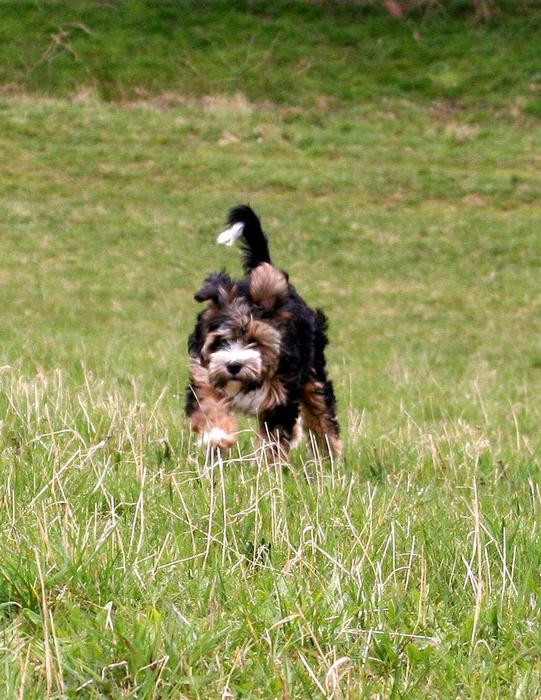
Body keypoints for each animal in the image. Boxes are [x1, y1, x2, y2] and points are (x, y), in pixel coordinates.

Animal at [185, 205, 341, 459]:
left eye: (255, 342)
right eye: (223, 340)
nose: (233, 365)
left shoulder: (281, 396)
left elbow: (274, 437)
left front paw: (267, 465)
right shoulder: (205, 375)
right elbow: (209, 407)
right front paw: (217, 438)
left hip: (312, 370)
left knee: (320, 409)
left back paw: (329, 454)